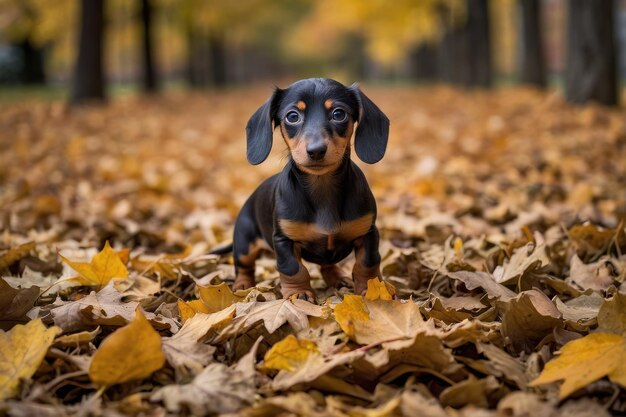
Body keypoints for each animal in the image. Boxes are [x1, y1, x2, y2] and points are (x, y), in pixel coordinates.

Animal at [219, 78, 386, 300]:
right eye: (292, 116)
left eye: (338, 114)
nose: (316, 151)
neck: (322, 186)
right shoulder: (283, 240)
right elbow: (293, 269)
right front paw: (298, 293)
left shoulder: (368, 232)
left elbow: (367, 263)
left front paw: (371, 289)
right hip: (244, 242)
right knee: (244, 266)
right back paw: (242, 285)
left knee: (327, 265)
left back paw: (338, 278)